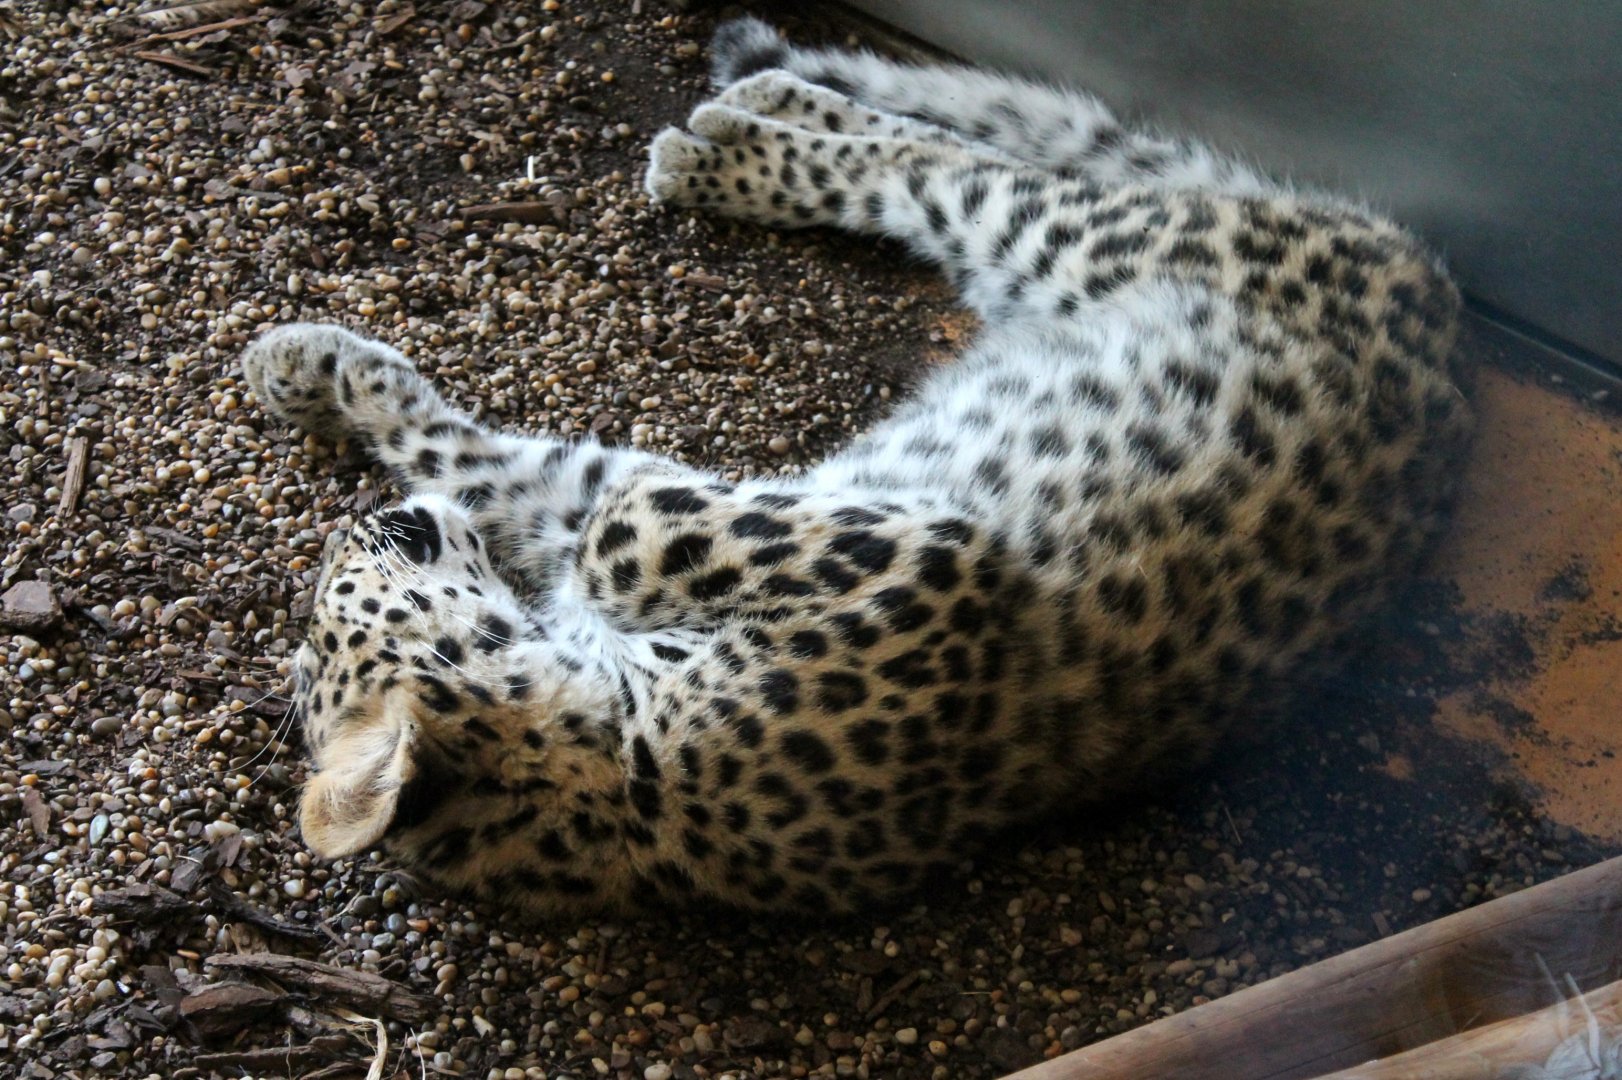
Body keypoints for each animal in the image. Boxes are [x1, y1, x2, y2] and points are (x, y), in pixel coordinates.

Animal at [241, 17, 1470, 917]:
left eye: (318, 617)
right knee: (950, 166)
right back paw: (739, 128)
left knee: (959, 152)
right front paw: (321, 375)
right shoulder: (921, 561)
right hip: (1073, 246)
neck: (609, 767)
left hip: (1077, 248)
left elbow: (564, 492)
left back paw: (751, 108)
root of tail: (1440, 318)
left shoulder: (872, 549)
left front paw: (307, 362)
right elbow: (562, 490)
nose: (358, 526)